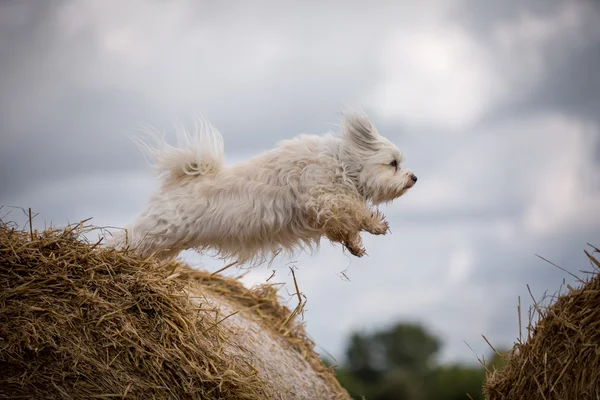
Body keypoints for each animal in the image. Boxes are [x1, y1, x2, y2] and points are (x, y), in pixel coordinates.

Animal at [108, 111, 414, 264]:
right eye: (393, 163)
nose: (414, 178)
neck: (343, 163)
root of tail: (181, 179)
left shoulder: (327, 212)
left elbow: (344, 227)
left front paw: (355, 246)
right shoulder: (322, 196)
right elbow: (354, 210)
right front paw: (376, 224)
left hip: (166, 243)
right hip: (157, 229)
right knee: (125, 238)